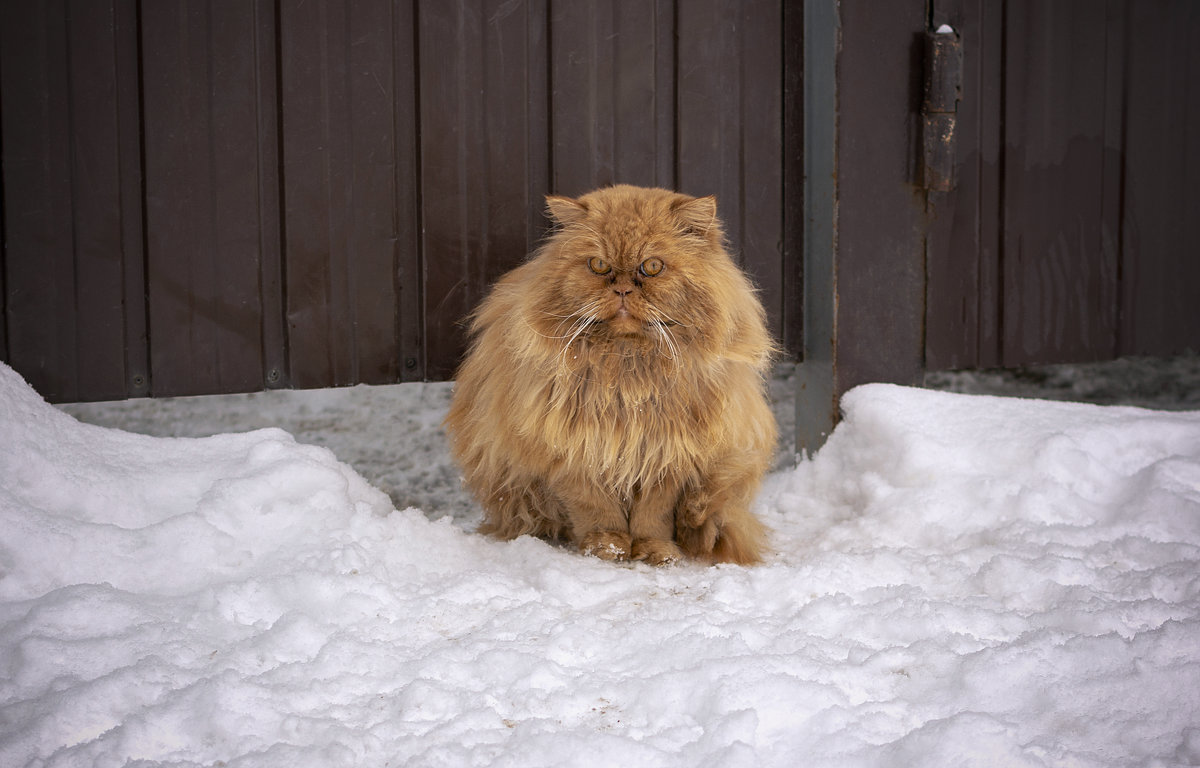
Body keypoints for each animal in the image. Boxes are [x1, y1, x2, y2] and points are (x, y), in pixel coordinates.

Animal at [444, 182, 777, 561]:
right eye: (599, 265)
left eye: (651, 266)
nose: (622, 288)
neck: (627, 369)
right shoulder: (571, 450)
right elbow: (596, 509)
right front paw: (607, 548)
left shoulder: (668, 455)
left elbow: (653, 515)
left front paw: (655, 552)